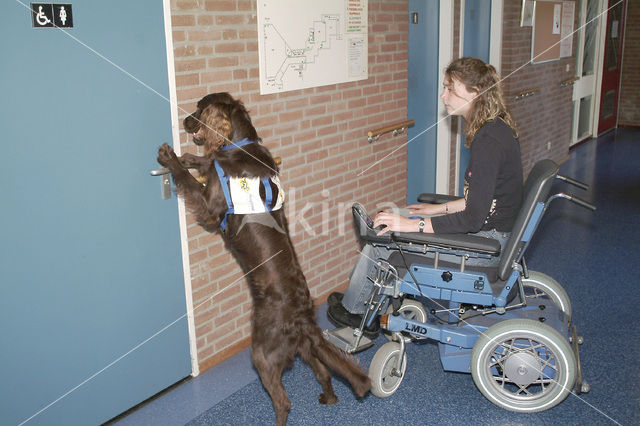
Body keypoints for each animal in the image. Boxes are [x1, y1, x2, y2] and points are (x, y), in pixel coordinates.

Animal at [154, 92, 370, 422]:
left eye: (199, 108)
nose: (186, 121)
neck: (240, 144)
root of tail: (300, 317)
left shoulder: (211, 208)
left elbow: (190, 180)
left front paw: (171, 158)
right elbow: (205, 161)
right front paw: (189, 156)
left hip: (263, 352)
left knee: (283, 400)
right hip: (303, 346)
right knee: (323, 371)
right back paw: (329, 398)